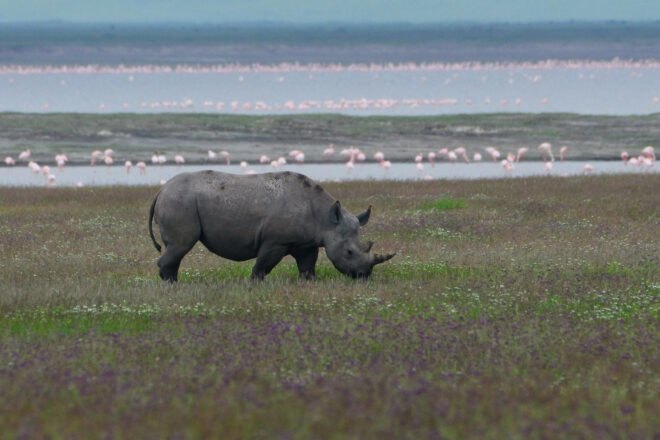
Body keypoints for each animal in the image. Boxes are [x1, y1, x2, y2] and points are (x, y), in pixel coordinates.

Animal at [148, 170, 395, 282]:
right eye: (350, 252)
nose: (364, 274)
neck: (326, 219)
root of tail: (161, 190)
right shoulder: (276, 240)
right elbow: (263, 265)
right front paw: (254, 284)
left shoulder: (307, 242)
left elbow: (308, 265)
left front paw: (310, 282)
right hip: (180, 201)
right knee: (180, 245)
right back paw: (172, 285)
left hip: (179, 200)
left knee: (175, 248)